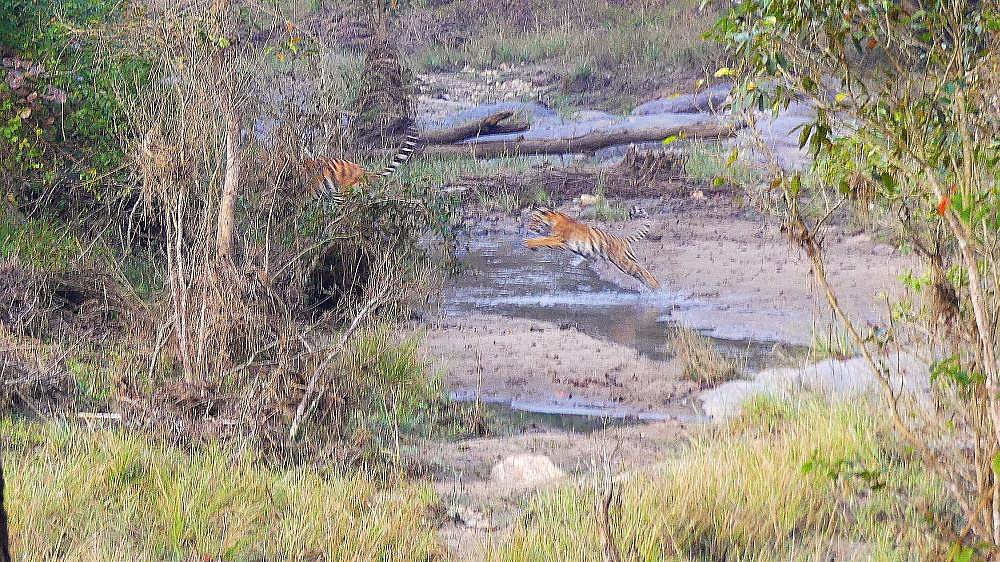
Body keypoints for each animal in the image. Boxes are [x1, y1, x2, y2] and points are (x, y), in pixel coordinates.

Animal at [524, 205, 660, 289]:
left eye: (534, 220)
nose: (528, 227)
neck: (551, 222)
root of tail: (623, 239)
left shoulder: (558, 240)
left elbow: (541, 240)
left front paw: (527, 242)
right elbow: (542, 240)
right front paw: (532, 246)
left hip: (625, 262)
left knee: (644, 271)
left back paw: (656, 287)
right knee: (641, 272)